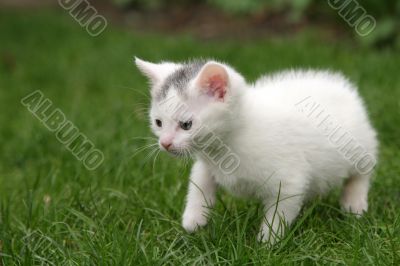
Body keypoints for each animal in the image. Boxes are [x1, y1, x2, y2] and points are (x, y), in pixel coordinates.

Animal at [135, 57, 378, 243]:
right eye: (158, 122)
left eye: (186, 125)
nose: (165, 143)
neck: (227, 145)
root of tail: (341, 86)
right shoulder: (207, 162)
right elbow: (200, 181)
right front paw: (194, 218)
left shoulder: (288, 181)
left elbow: (280, 211)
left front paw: (267, 242)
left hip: (359, 146)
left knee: (363, 170)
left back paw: (354, 204)